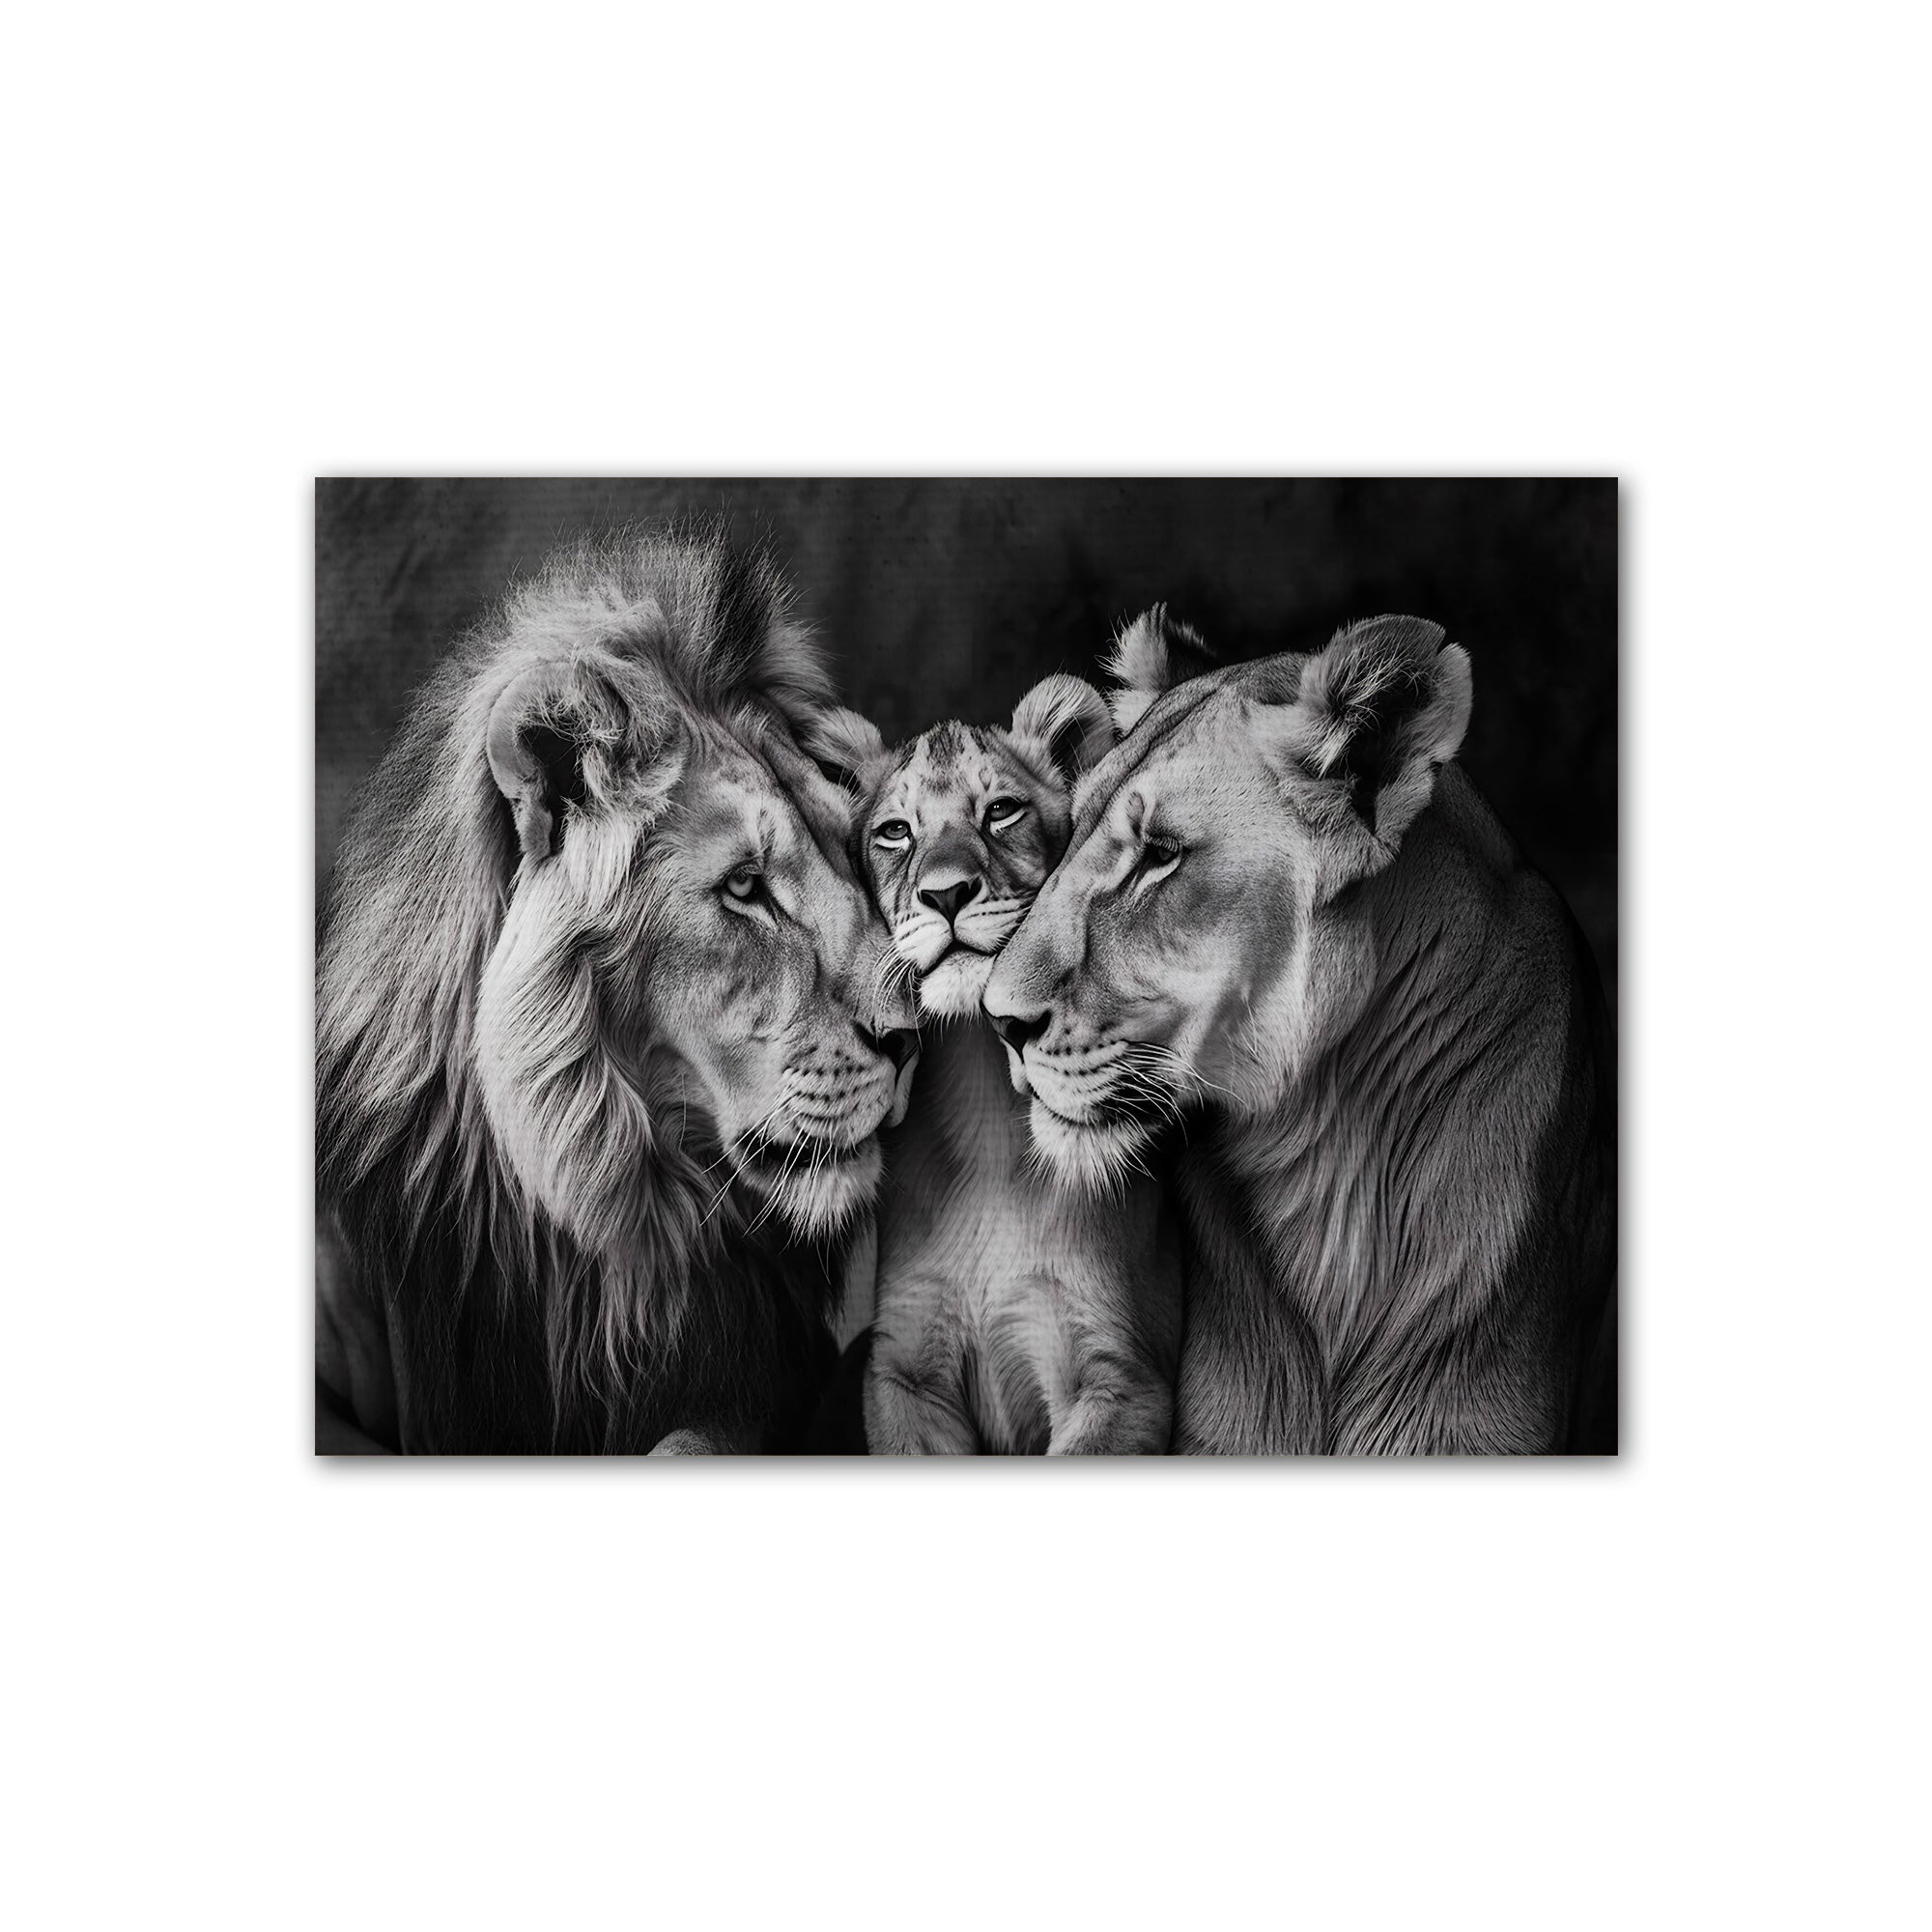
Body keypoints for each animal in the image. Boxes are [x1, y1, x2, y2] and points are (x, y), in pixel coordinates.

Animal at [806, 680, 1184, 1454]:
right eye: (896, 832)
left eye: (1001, 811)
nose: (947, 894)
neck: (981, 1098)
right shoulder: (905, 1372)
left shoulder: (1120, 1379)